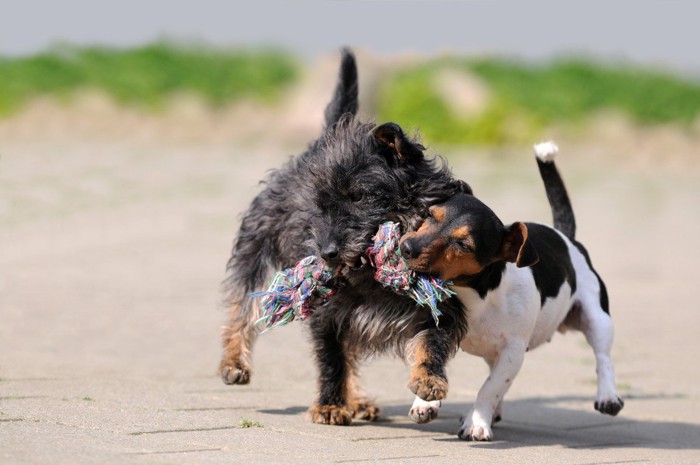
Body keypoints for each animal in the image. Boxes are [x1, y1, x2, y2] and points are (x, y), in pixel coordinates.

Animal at [219, 48, 470, 424]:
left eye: (359, 196)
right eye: (319, 204)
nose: (327, 252)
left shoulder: (439, 301)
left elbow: (432, 341)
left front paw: (429, 381)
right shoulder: (328, 306)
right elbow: (332, 357)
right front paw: (331, 404)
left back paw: (359, 400)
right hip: (255, 245)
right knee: (242, 304)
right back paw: (234, 361)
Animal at [400, 143, 624, 440]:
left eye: (463, 244)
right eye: (428, 216)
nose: (406, 248)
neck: (476, 296)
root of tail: (566, 236)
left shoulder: (513, 350)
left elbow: (489, 387)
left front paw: (476, 423)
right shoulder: (437, 330)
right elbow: (429, 357)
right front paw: (426, 401)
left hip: (597, 316)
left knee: (602, 356)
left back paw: (608, 396)